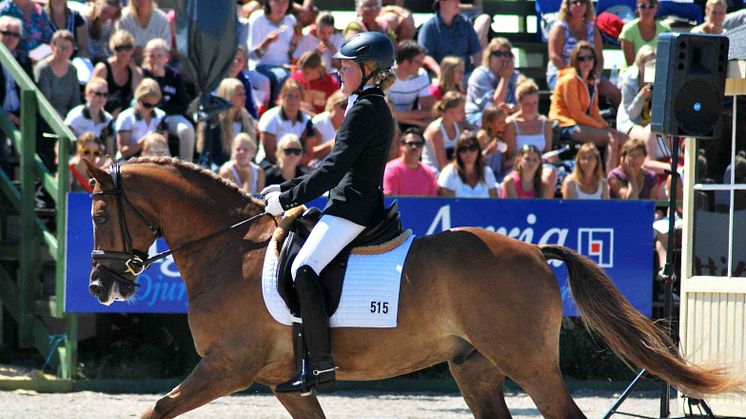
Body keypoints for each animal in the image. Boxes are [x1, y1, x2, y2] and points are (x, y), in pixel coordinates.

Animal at [84, 158, 736, 419]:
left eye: (98, 213)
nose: (99, 284)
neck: (227, 249)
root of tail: (532, 250)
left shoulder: (228, 366)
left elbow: (155, 409)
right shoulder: (282, 383)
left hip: (526, 362)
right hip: (475, 366)